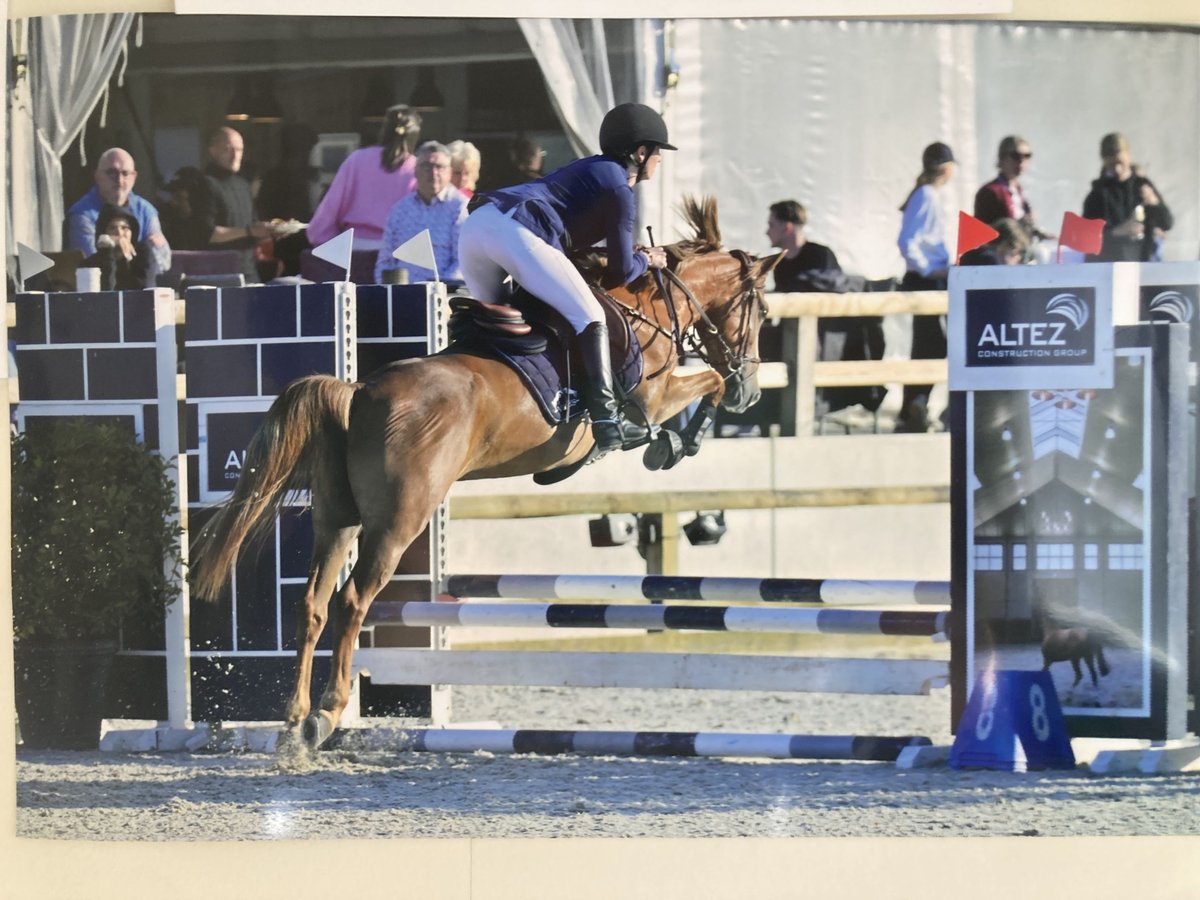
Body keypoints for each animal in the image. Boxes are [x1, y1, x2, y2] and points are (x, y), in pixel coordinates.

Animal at [189, 195, 777, 748]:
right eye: (764, 312)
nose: (751, 392)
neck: (646, 307)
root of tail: (358, 391)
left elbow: (705, 385)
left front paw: (685, 435)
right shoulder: (651, 398)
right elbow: (705, 385)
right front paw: (679, 442)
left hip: (338, 519)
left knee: (312, 602)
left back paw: (293, 720)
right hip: (398, 522)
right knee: (352, 600)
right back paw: (327, 714)